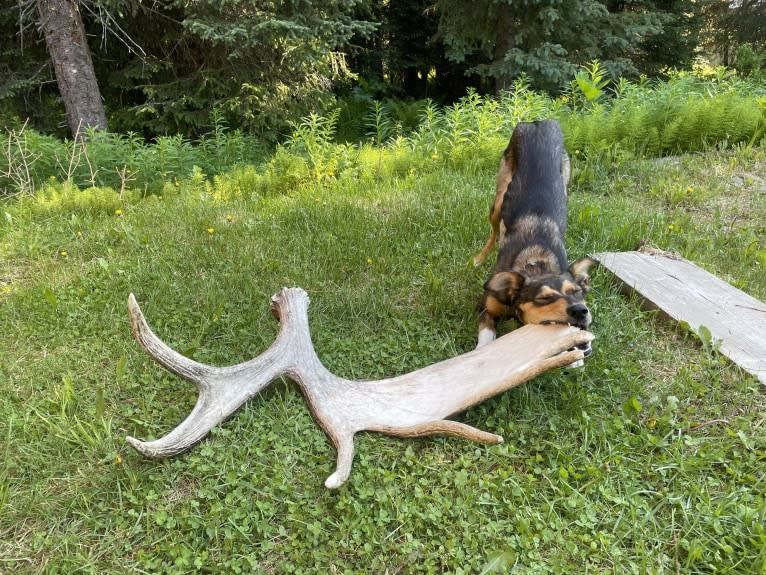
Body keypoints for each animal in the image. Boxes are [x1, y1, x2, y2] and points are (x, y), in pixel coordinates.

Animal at [474, 120, 592, 356]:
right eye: (544, 298)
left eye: (576, 292)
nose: (580, 310)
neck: (537, 264)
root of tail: (538, 122)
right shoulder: (485, 308)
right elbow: (486, 333)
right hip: (498, 201)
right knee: (494, 231)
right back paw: (479, 258)